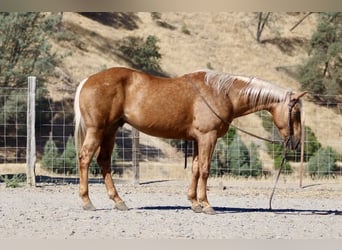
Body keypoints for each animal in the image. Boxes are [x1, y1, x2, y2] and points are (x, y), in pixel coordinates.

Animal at [73, 67, 306, 215]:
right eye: (295, 113)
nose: (295, 143)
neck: (223, 93)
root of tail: (88, 80)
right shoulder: (207, 137)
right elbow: (205, 170)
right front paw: (206, 205)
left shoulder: (196, 140)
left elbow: (195, 169)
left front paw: (194, 203)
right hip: (97, 130)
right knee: (85, 159)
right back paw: (87, 201)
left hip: (110, 131)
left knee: (103, 161)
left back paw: (119, 201)